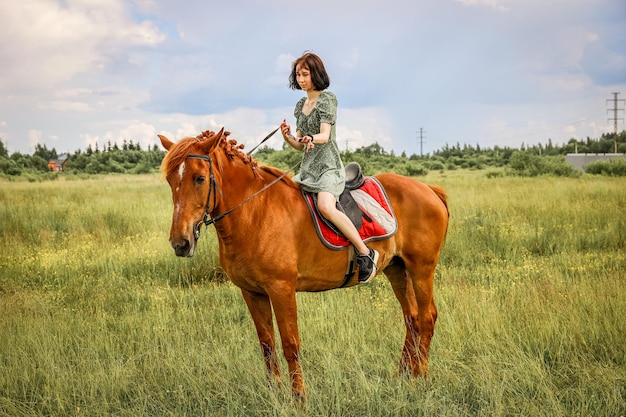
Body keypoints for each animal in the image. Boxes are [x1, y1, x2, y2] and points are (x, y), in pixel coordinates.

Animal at [158, 128, 446, 398]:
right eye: (171, 180)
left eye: (199, 178)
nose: (180, 242)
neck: (256, 213)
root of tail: (429, 189)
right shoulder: (252, 292)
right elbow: (267, 343)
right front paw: (273, 392)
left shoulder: (281, 289)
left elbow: (290, 344)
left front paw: (298, 398)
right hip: (397, 269)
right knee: (411, 318)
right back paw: (403, 374)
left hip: (421, 269)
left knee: (427, 317)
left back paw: (420, 377)